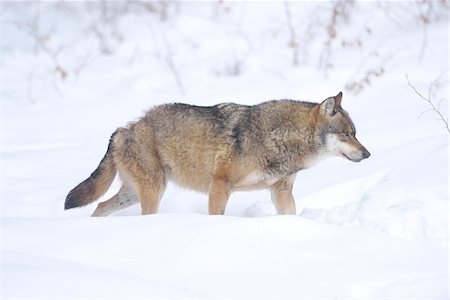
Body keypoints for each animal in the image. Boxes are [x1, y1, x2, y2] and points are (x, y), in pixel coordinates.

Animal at [65, 92, 370, 217]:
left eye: (355, 133)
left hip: (134, 193)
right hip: (153, 191)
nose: (367, 154)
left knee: (100, 207)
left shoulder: (281, 191)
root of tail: (124, 129)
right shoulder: (220, 185)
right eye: (346, 135)